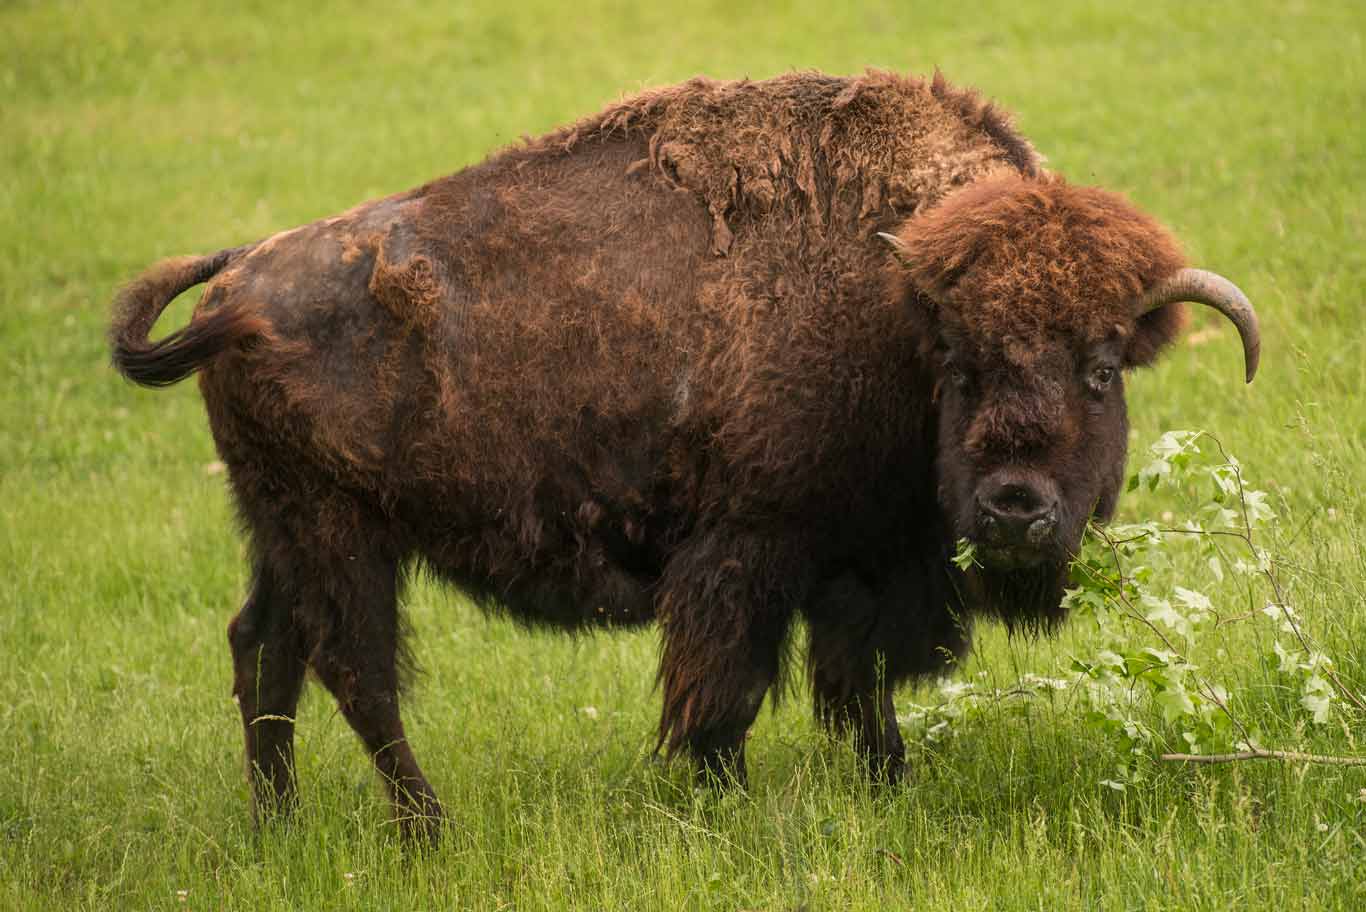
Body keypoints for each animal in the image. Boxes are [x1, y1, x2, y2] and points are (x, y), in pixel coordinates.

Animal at [109, 73, 1256, 841]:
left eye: (1100, 368)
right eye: (962, 366)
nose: (1016, 509)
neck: (890, 311)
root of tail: (235, 283)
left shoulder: (854, 562)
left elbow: (857, 690)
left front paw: (886, 786)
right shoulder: (749, 552)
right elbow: (727, 694)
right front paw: (722, 805)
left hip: (280, 526)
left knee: (264, 646)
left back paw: (279, 823)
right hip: (339, 530)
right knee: (354, 668)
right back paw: (426, 831)